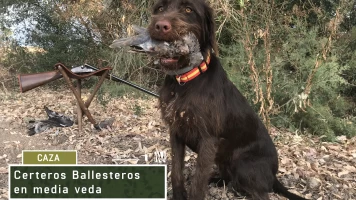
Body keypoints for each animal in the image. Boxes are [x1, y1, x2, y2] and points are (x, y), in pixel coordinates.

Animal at [147, 0, 306, 199]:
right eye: (160, 8)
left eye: (189, 9)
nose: (160, 25)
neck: (184, 81)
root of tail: (274, 174)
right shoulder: (175, 131)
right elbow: (176, 172)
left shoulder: (208, 139)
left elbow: (198, 183)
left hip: (244, 165)